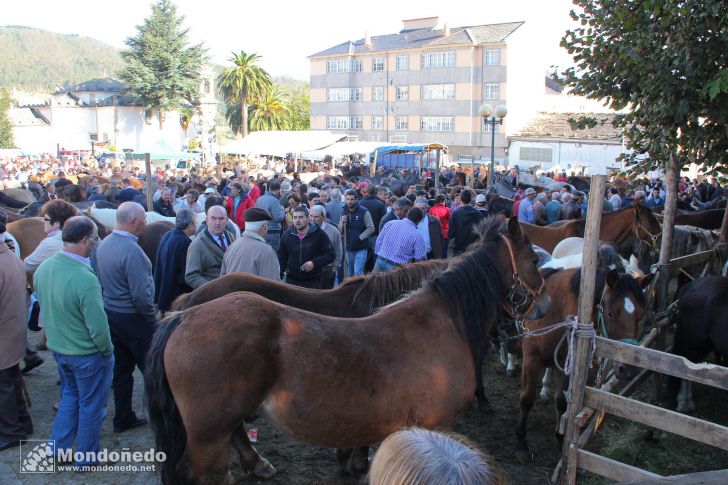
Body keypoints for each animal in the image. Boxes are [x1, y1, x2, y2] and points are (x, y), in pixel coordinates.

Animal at [145, 217, 548, 482]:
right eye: (534, 260)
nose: (543, 307)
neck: (441, 321)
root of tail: (183, 315)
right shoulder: (436, 425)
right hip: (208, 437)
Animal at [516, 268, 652, 462]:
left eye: (641, 316)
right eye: (611, 313)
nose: (628, 369)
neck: (553, 310)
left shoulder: (565, 363)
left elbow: (561, 401)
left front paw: (560, 439)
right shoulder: (531, 360)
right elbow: (526, 400)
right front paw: (521, 443)